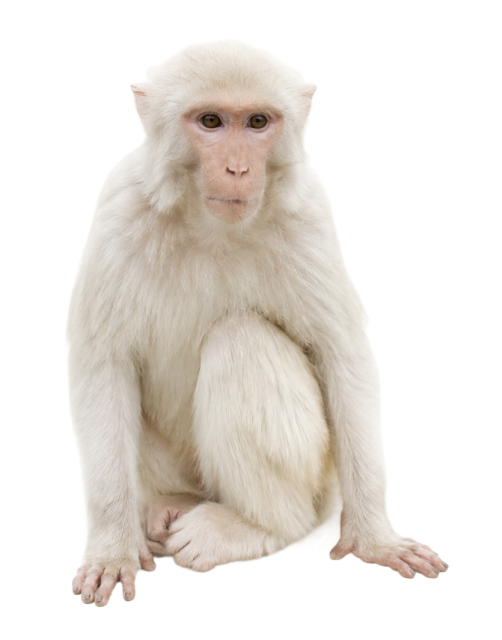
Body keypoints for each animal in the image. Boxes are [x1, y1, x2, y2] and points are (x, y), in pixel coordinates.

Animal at [67, 39, 449, 607]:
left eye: (257, 122)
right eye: (210, 121)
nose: (237, 169)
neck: (208, 224)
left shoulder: (310, 214)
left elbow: (342, 353)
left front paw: (374, 538)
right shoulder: (119, 210)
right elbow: (102, 364)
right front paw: (113, 546)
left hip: (320, 487)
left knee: (239, 337)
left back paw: (259, 527)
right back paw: (167, 505)